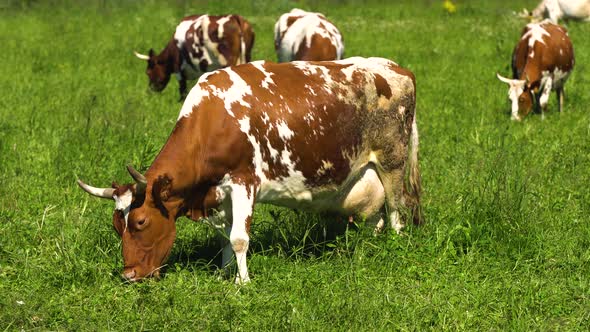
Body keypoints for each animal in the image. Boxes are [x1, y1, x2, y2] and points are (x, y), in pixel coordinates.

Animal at [78, 56, 424, 282]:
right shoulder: (219, 193)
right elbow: (224, 237)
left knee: (397, 208)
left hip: (392, 161)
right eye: (116, 226)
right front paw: (225, 271)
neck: (214, 119)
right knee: (378, 215)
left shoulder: (244, 182)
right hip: (369, 173)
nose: (129, 274)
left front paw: (241, 283)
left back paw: (394, 247)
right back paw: (370, 246)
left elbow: (238, 237)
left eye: (141, 221)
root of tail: (396, 67)